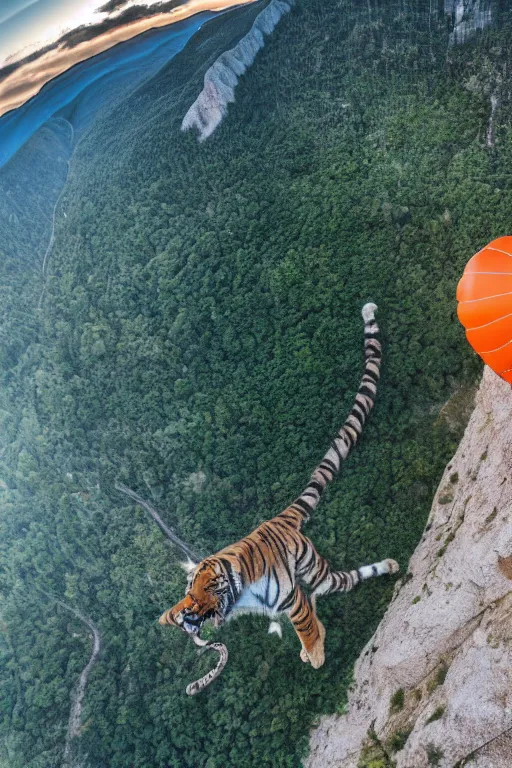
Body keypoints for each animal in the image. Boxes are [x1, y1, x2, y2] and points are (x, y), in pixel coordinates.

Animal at [158, 304, 398, 668]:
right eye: (193, 597)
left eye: (212, 588)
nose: (196, 614)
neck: (237, 594)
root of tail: (277, 520)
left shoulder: (288, 597)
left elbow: (304, 623)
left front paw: (315, 654)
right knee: (325, 591)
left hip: (313, 569)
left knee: (339, 582)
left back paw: (386, 567)